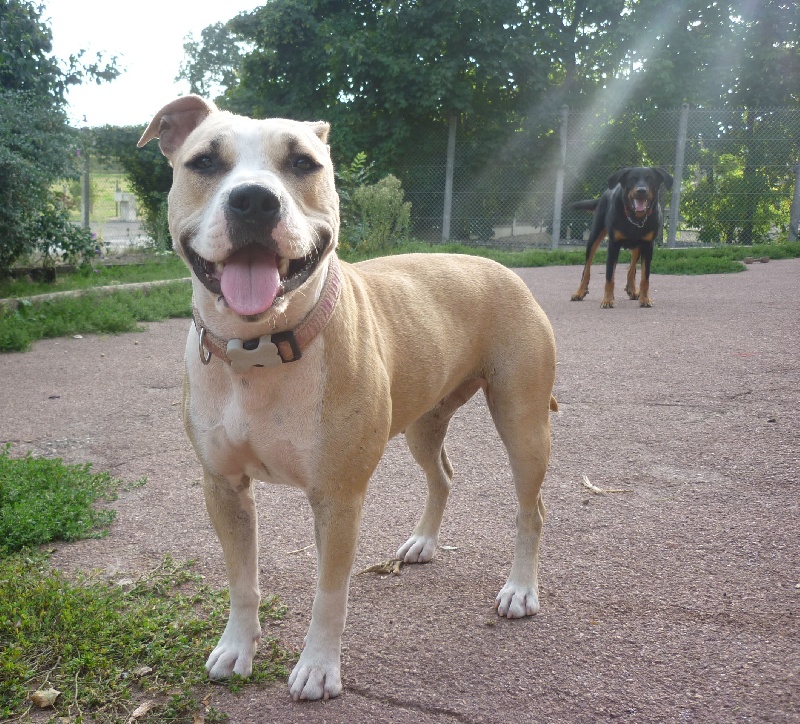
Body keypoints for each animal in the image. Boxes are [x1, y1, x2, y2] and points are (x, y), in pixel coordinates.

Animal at [138, 96, 560, 700]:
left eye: (302, 163)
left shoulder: (338, 497)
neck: (259, 351)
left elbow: (329, 594)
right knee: (442, 475)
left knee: (532, 508)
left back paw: (520, 590)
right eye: (204, 162)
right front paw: (237, 647)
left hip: (524, 425)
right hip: (423, 423)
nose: (253, 200)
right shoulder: (223, 487)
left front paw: (318, 667)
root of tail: (500, 267)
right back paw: (422, 542)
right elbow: (242, 580)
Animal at [568, 166, 676, 306]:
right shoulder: (613, 245)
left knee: (632, 268)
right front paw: (607, 300)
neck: (635, 219)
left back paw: (632, 289)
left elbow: (644, 277)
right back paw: (580, 292)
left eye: (650, 178)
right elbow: (609, 276)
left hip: (637, 247)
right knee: (586, 268)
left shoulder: (648, 246)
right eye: (632, 179)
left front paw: (645, 298)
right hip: (594, 237)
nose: (641, 190)